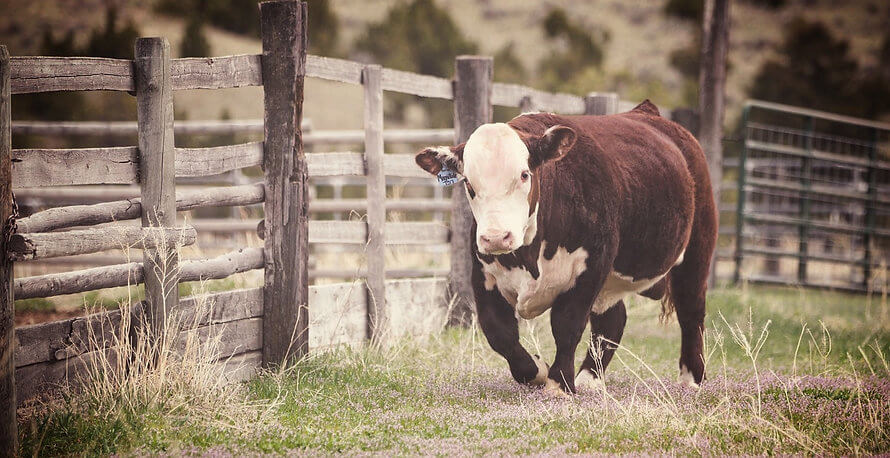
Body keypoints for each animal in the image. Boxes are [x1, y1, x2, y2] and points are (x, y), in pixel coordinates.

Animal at [414, 100, 718, 395]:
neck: (530, 256)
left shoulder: (591, 267)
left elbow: (567, 325)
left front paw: (560, 383)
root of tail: (648, 111)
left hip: (697, 249)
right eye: (468, 182)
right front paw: (537, 370)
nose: (497, 237)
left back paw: (692, 379)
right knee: (613, 319)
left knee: (691, 312)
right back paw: (590, 378)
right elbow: (498, 332)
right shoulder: (482, 274)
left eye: (524, 175)